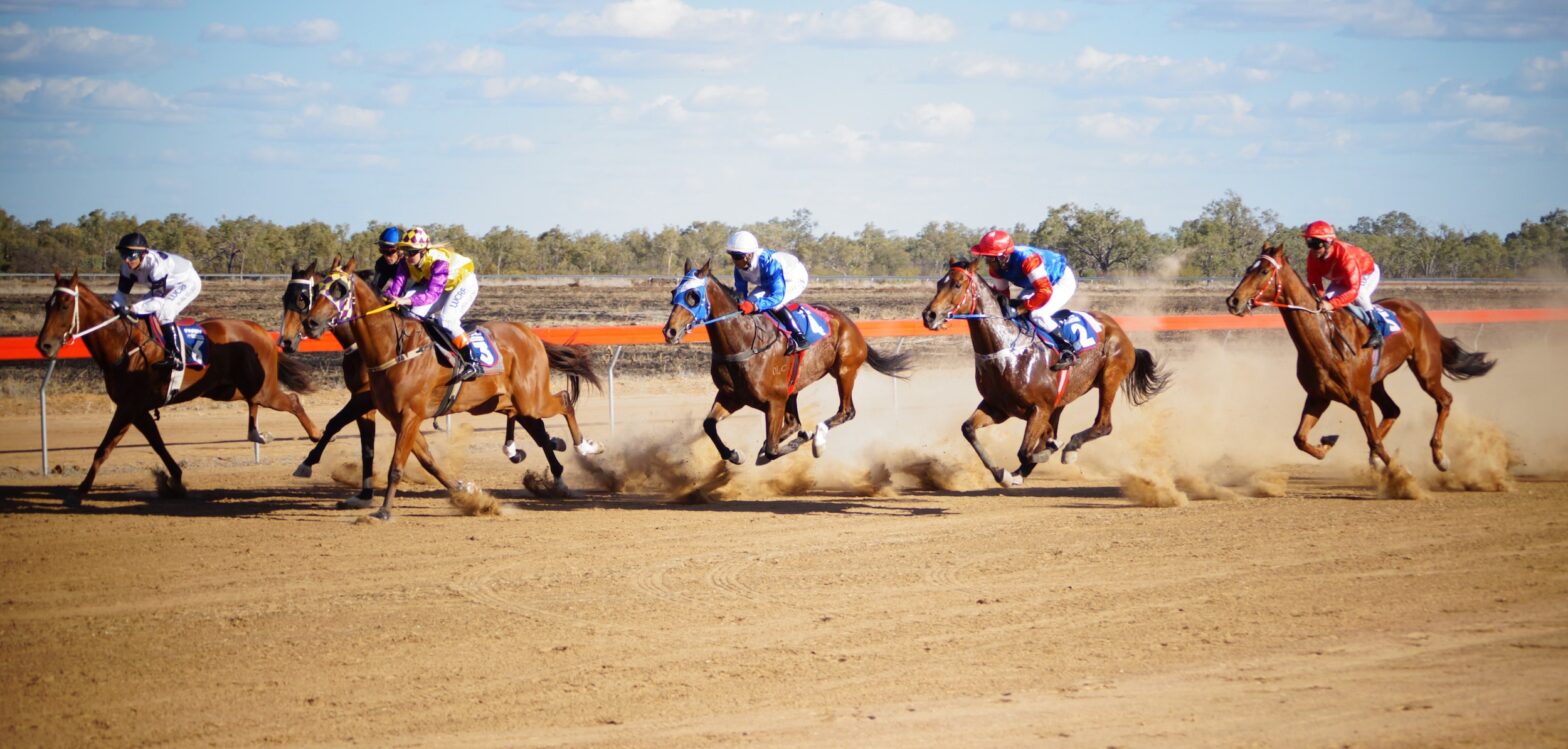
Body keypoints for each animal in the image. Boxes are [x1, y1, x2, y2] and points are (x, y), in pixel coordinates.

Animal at [33, 272, 319, 507]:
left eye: (64, 305)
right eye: (47, 305)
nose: (43, 345)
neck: (125, 345)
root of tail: (260, 330)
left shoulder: (128, 406)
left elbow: (104, 448)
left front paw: (78, 493)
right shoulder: (137, 409)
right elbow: (157, 443)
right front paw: (175, 481)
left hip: (261, 389)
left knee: (292, 400)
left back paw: (315, 435)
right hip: (227, 389)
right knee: (255, 401)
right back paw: (257, 434)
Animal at [304, 260, 598, 517]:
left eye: (339, 290)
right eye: (317, 290)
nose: (311, 323)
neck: (395, 349)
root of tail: (530, 335)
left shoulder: (409, 414)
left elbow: (396, 465)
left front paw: (384, 511)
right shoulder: (399, 418)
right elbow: (427, 460)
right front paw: (466, 492)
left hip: (531, 399)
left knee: (564, 400)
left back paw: (584, 447)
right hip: (502, 402)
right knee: (533, 425)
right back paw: (538, 462)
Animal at [658, 260, 909, 463]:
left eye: (693, 296)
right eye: (673, 292)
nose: (670, 331)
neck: (744, 343)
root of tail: (850, 323)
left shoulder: (774, 401)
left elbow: (772, 449)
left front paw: (800, 440)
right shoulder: (732, 396)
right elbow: (709, 425)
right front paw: (734, 454)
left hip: (845, 370)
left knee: (846, 411)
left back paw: (817, 440)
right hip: (795, 387)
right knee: (795, 421)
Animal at [915, 260, 1166, 488]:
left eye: (957, 284)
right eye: (939, 283)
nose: (929, 315)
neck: (1008, 351)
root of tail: (1119, 330)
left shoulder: (1039, 409)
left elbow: (1026, 450)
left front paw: (1049, 452)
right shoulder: (998, 407)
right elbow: (968, 429)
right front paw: (1003, 473)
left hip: (1109, 378)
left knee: (1103, 425)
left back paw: (1070, 449)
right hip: (1060, 401)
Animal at [1223, 242, 1492, 470]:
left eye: (1264, 271)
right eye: (1248, 269)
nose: (1233, 301)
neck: (1326, 342)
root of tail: (1419, 311)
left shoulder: (1360, 397)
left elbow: (1373, 439)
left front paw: (1401, 475)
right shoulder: (1319, 396)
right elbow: (1299, 438)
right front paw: (1328, 442)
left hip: (1425, 370)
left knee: (1444, 400)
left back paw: (1439, 456)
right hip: (1377, 382)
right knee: (1393, 410)